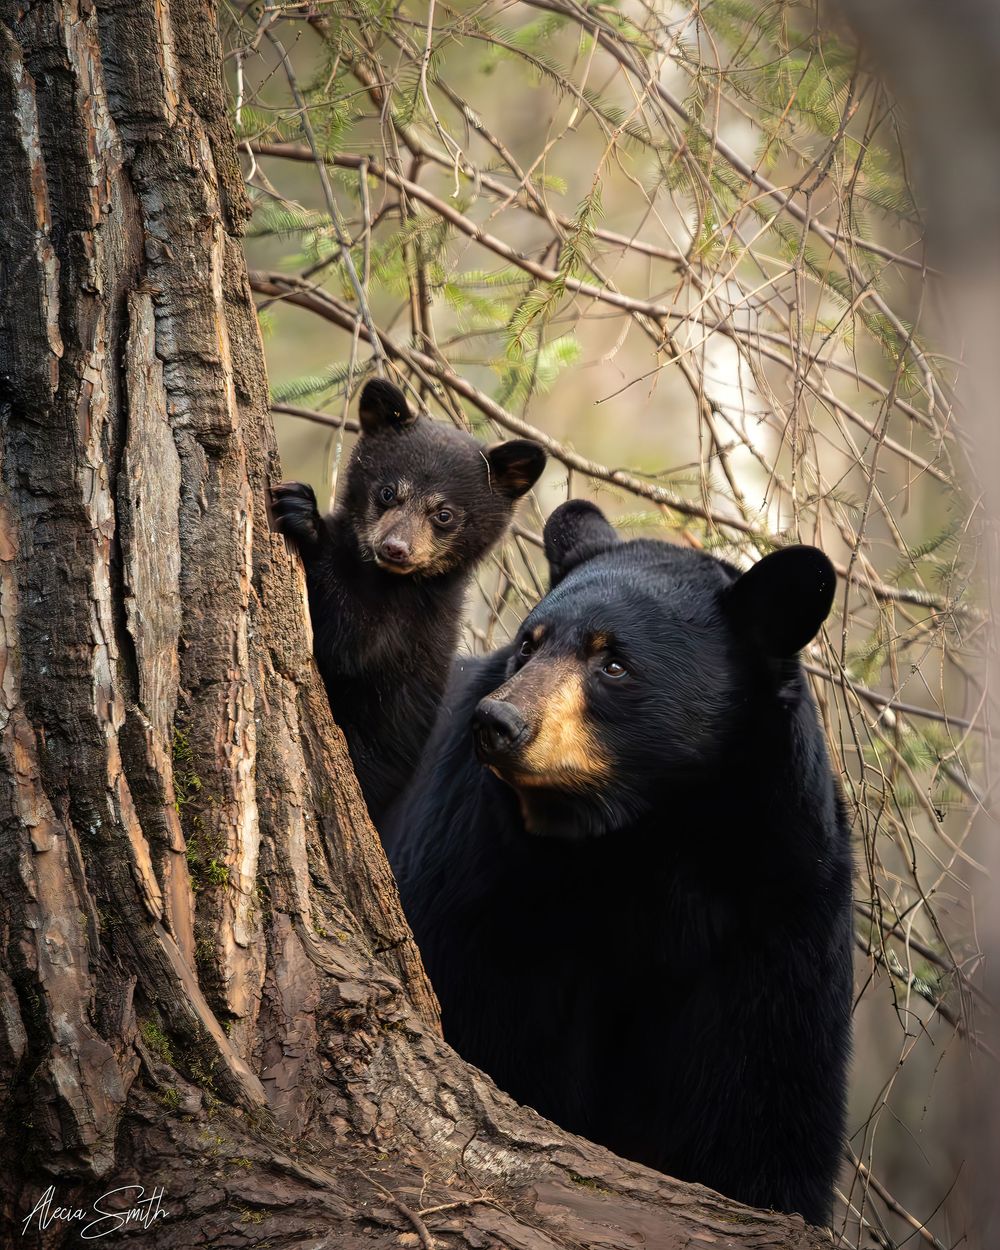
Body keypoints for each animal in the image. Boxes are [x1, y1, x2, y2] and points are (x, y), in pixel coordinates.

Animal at [271, 378, 546, 822]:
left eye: (444, 514)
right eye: (387, 492)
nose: (395, 548)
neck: (388, 580)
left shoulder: (414, 621)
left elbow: (351, 643)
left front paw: (305, 518)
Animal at [384, 500, 853, 1226]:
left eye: (613, 664)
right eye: (530, 642)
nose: (499, 722)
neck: (636, 839)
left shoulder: (779, 906)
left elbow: (764, 1098)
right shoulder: (483, 882)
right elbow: (488, 1021)